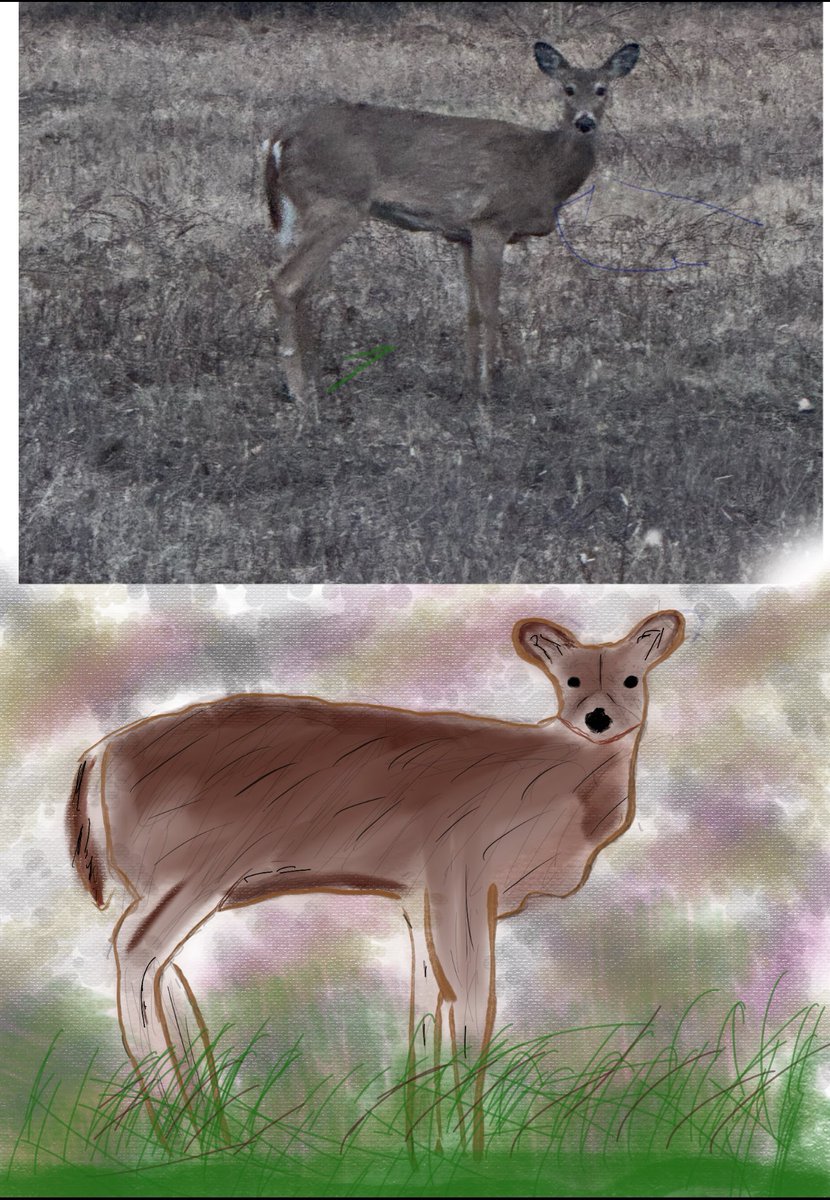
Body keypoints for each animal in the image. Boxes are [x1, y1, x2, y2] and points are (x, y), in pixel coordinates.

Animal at [68, 608, 682, 1155]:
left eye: (631, 677)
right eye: (571, 678)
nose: (598, 719)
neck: (547, 785)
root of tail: (96, 756)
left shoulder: (416, 897)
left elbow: (428, 1007)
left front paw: (424, 1147)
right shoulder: (462, 869)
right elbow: (473, 1009)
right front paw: (467, 1152)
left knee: (162, 969)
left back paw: (209, 1132)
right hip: (193, 869)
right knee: (135, 950)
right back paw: (184, 1136)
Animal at [263, 39, 639, 418]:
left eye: (602, 89)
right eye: (568, 89)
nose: (585, 122)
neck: (544, 169)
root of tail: (279, 137)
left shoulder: (463, 235)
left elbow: (470, 311)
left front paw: (467, 386)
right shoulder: (491, 222)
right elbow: (491, 309)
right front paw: (489, 389)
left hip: (305, 211)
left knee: (302, 286)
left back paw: (314, 378)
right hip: (337, 203)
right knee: (286, 281)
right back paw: (300, 392)